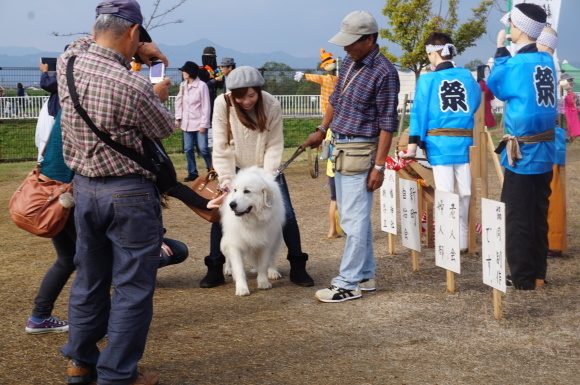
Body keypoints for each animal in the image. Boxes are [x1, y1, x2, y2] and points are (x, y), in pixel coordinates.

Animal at [220, 164, 286, 294]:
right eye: (235, 190)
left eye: (247, 191)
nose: (232, 205)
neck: (252, 220)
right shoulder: (235, 243)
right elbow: (239, 269)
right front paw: (241, 288)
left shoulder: (266, 243)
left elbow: (263, 265)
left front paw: (263, 282)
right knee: (228, 257)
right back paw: (229, 270)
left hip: (276, 238)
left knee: (271, 257)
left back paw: (272, 271)